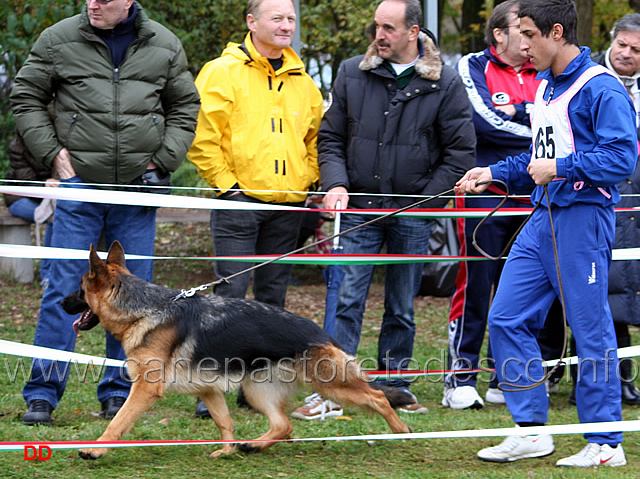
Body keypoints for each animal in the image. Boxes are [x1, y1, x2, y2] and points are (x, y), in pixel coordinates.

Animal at [62, 242, 412, 460]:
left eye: (79, 290)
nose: (60, 303)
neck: (143, 308)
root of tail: (323, 334)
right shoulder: (208, 390)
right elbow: (224, 422)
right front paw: (227, 451)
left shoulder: (145, 390)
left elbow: (118, 422)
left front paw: (94, 450)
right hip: (257, 390)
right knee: (283, 426)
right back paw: (252, 447)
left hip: (331, 384)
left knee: (378, 397)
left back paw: (401, 430)